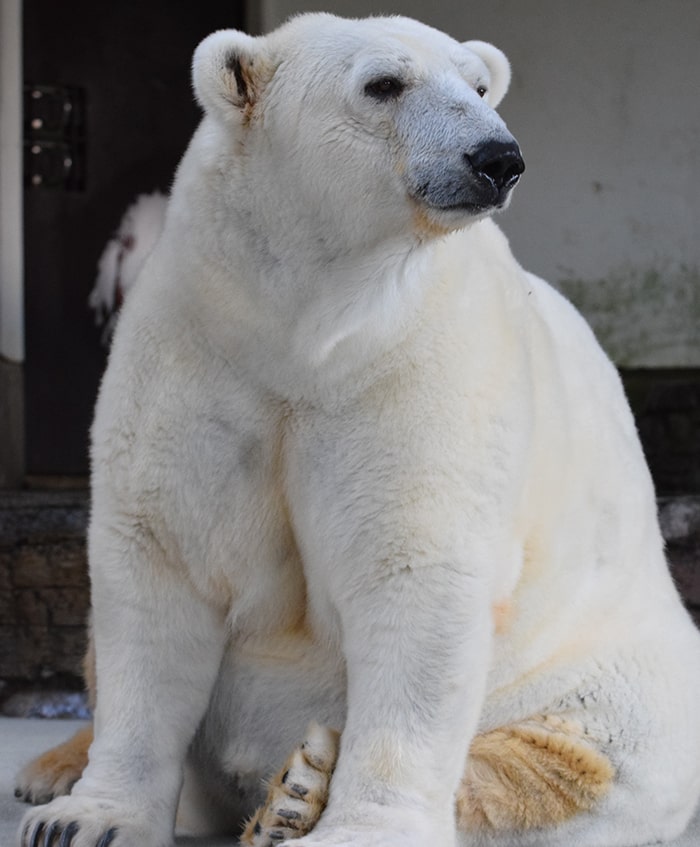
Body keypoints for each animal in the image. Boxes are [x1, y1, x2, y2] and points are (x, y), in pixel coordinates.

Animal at [15, 11, 700, 847]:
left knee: (595, 756)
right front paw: (86, 818)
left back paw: (298, 789)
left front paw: (358, 825)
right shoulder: (201, 347)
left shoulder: (417, 370)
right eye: (384, 83)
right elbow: (162, 558)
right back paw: (56, 770)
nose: (498, 158)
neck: (307, 325)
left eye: (478, 85)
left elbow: (413, 569)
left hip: (611, 663)